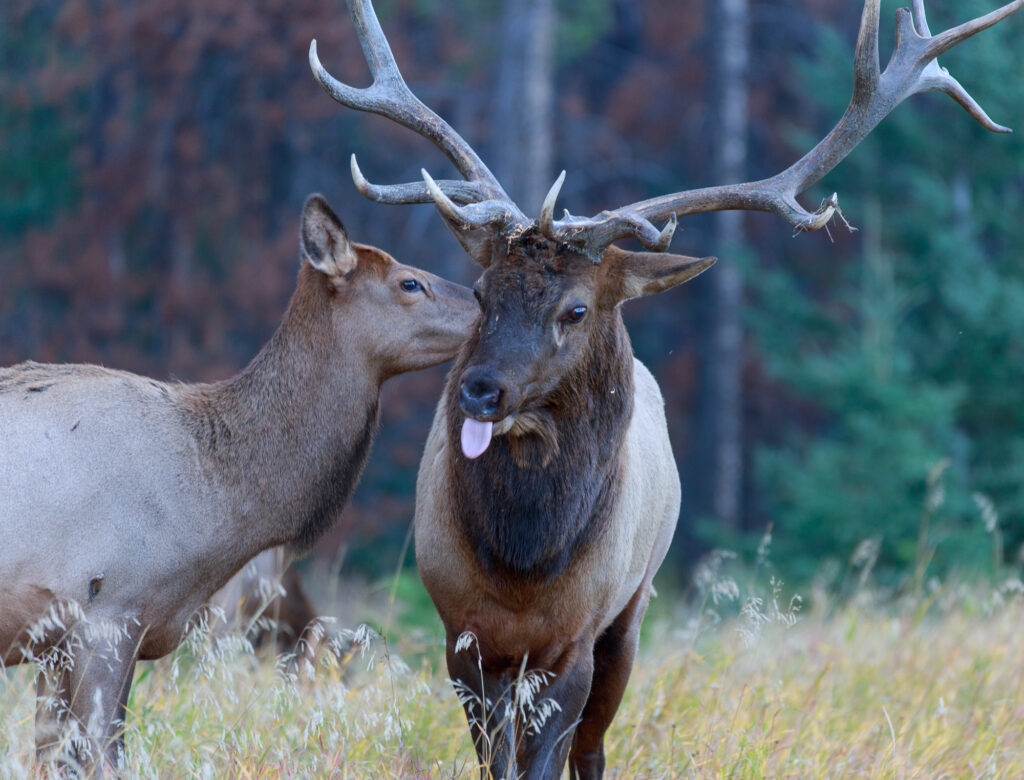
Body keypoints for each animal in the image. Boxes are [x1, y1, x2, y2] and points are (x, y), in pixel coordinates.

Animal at [0, 195, 479, 773]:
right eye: (410, 282)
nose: (485, 299)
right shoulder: (107, 612)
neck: (209, 502)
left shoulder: (54, 640)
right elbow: (105, 757)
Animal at [311, 0, 1024, 773]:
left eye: (576, 309)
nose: (478, 392)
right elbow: (494, 762)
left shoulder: (579, 636)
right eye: (480, 290)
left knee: (592, 749)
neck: (524, 566)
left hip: (634, 612)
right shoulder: (462, 638)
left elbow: (549, 758)